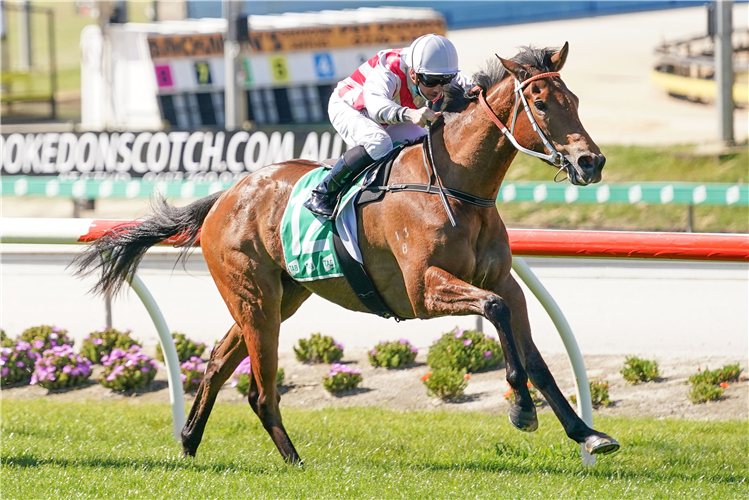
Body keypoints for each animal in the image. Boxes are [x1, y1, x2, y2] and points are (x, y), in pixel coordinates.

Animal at [73, 43, 616, 464]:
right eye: (541, 104)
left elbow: (533, 351)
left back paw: (188, 443)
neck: (455, 185)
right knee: (259, 390)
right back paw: (294, 461)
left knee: (216, 363)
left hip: (278, 298)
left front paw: (587, 433)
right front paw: (521, 409)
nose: (591, 161)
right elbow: (498, 314)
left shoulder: (504, 281)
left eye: (574, 99)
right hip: (255, 299)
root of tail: (227, 194)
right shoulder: (423, 290)